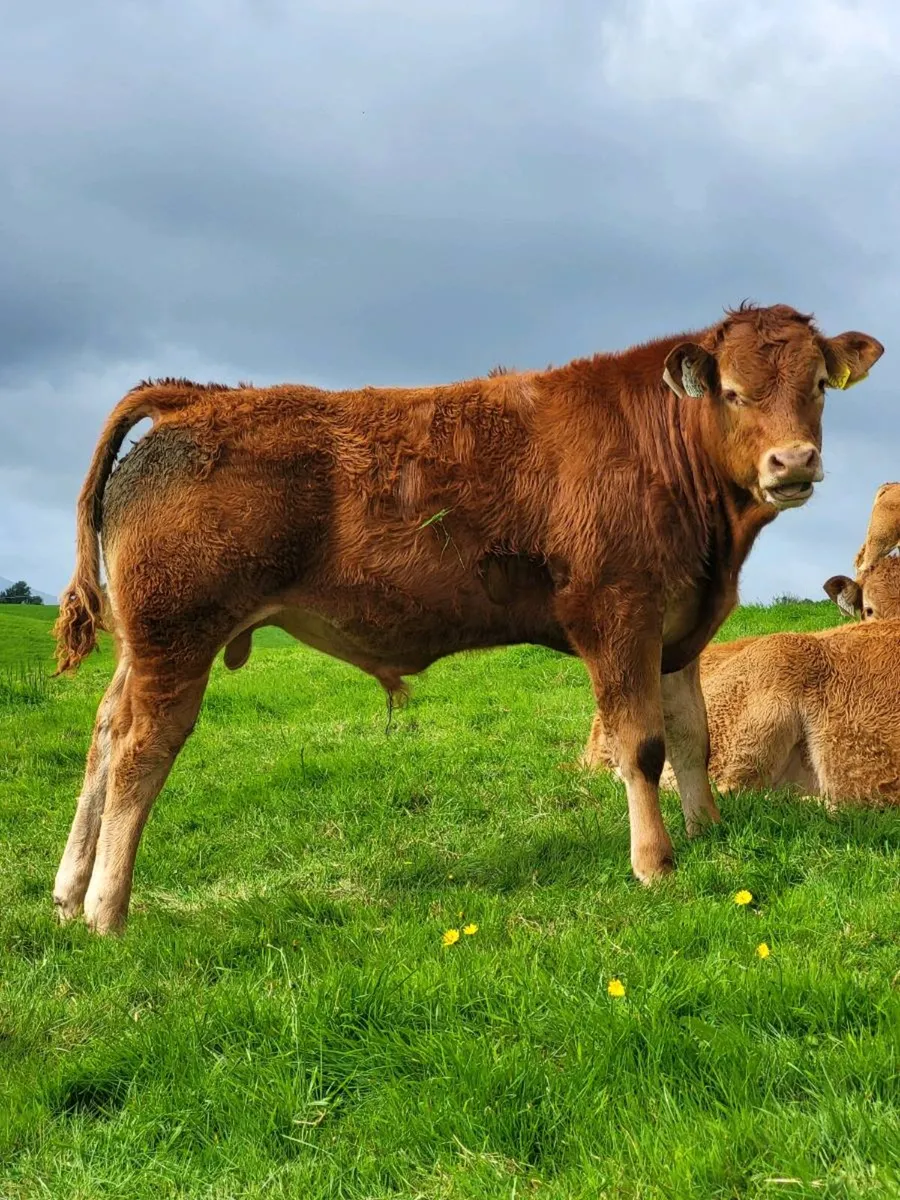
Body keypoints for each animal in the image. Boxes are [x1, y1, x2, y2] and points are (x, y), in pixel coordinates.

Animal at [52, 303, 883, 932]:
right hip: (178, 637)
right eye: (734, 393)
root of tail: (198, 397)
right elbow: (641, 746)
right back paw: (106, 910)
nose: (793, 462)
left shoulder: (676, 629)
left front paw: (707, 831)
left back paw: (66, 893)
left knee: (103, 735)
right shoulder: (618, 617)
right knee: (140, 752)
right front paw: (656, 865)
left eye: (817, 384)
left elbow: (692, 739)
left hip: (143, 645)